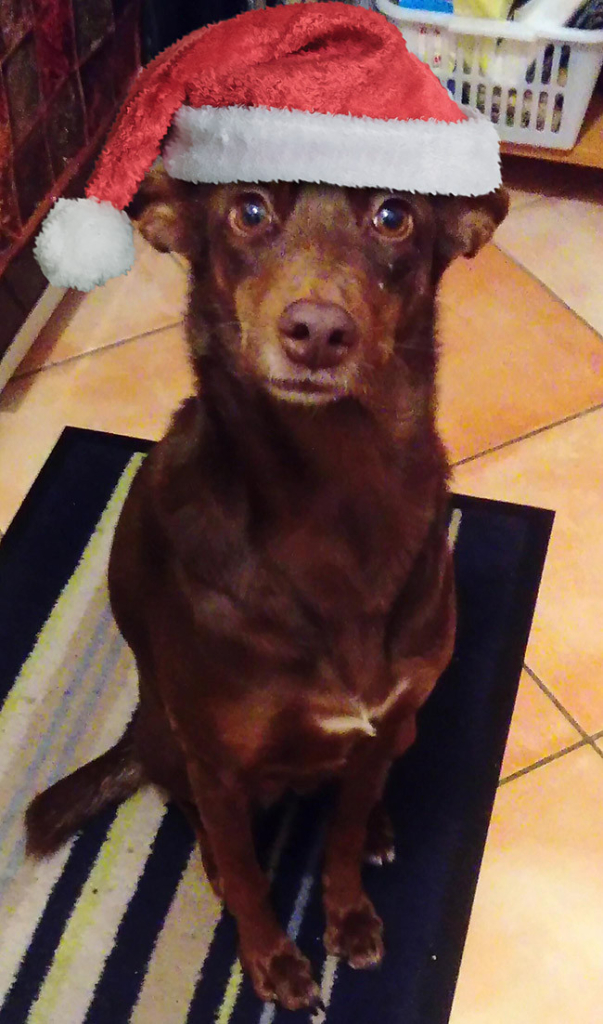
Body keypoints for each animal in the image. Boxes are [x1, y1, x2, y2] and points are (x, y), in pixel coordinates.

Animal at [24, 165, 507, 1007]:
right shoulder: (218, 765)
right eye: (247, 210)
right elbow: (250, 880)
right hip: (172, 741)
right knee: (194, 818)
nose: (317, 331)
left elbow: (339, 842)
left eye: (394, 217)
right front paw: (272, 960)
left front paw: (347, 915)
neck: (333, 488)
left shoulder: (382, 722)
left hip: (405, 727)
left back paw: (378, 824)